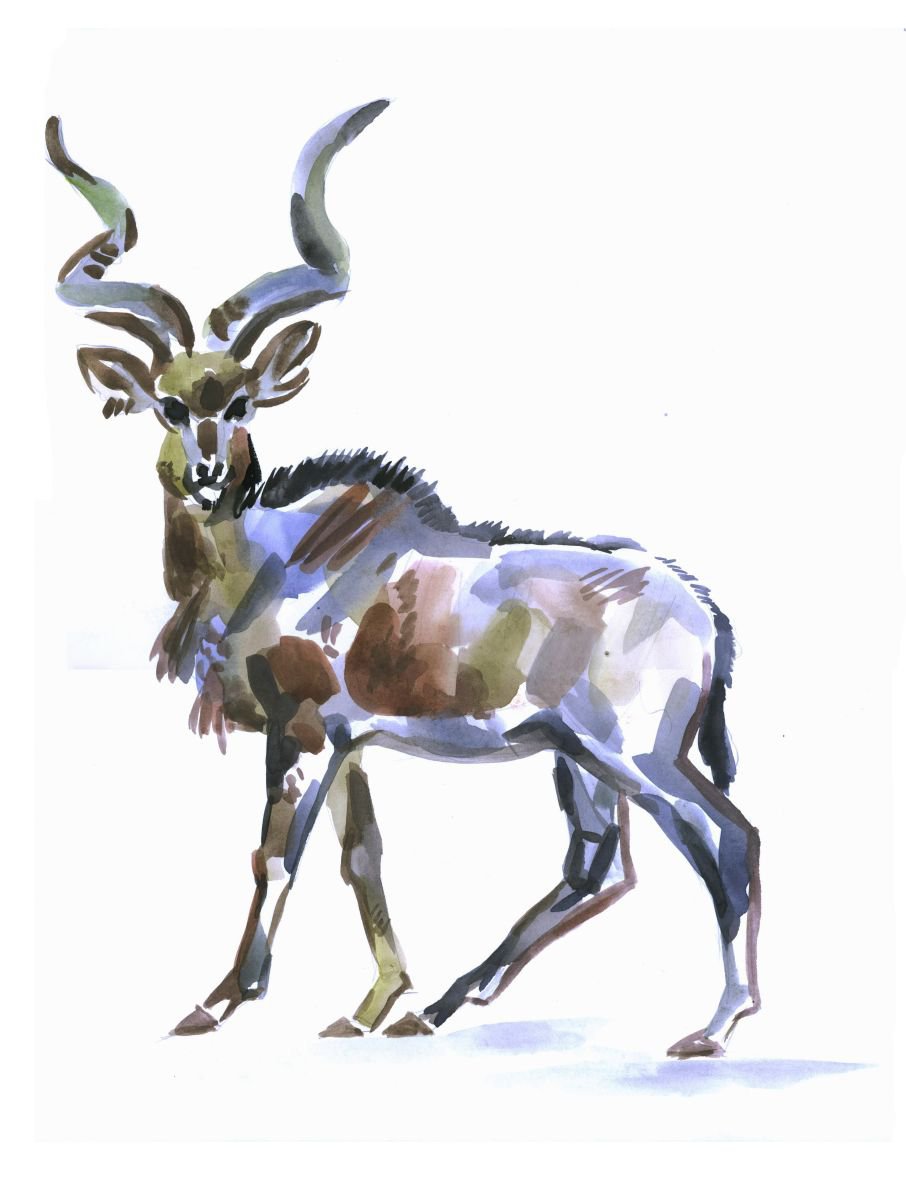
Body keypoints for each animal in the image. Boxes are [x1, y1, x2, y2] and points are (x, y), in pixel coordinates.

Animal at [46, 100, 761, 1057]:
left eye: (237, 401)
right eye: (168, 401)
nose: (205, 474)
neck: (276, 556)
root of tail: (705, 611)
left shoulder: (305, 734)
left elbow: (278, 855)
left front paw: (219, 1000)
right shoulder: (350, 739)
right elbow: (363, 856)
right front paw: (370, 1006)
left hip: (639, 754)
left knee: (726, 840)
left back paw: (714, 1027)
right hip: (576, 756)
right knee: (598, 860)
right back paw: (442, 1007)